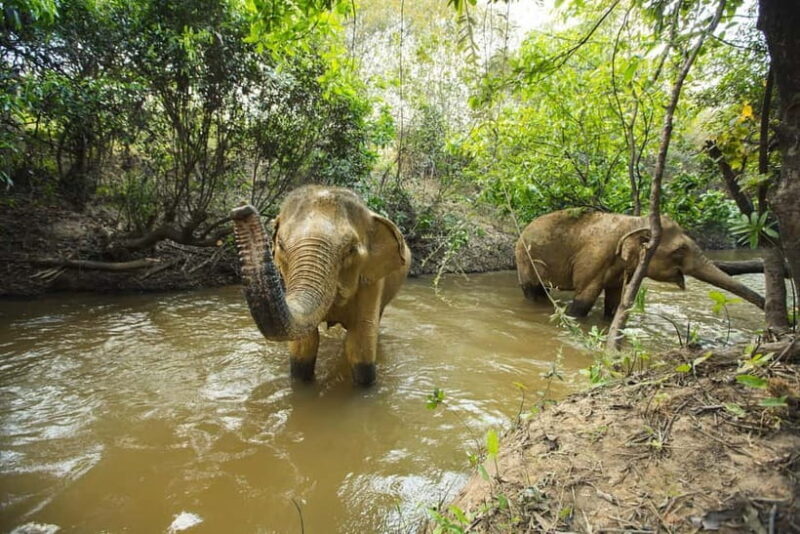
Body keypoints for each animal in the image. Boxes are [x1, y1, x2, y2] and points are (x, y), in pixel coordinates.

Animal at [231, 185, 411, 386]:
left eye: (350, 250)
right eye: (281, 245)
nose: (241, 209)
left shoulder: (372, 280)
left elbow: (359, 342)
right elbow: (305, 343)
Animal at [515, 209, 765, 318]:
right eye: (680, 250)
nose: (765, 304)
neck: (635, 221)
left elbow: (615, 301)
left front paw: (610, 319)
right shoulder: (594, 259)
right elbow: (584, 301)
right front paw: (572, 318)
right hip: (525, 259)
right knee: (532, 289)